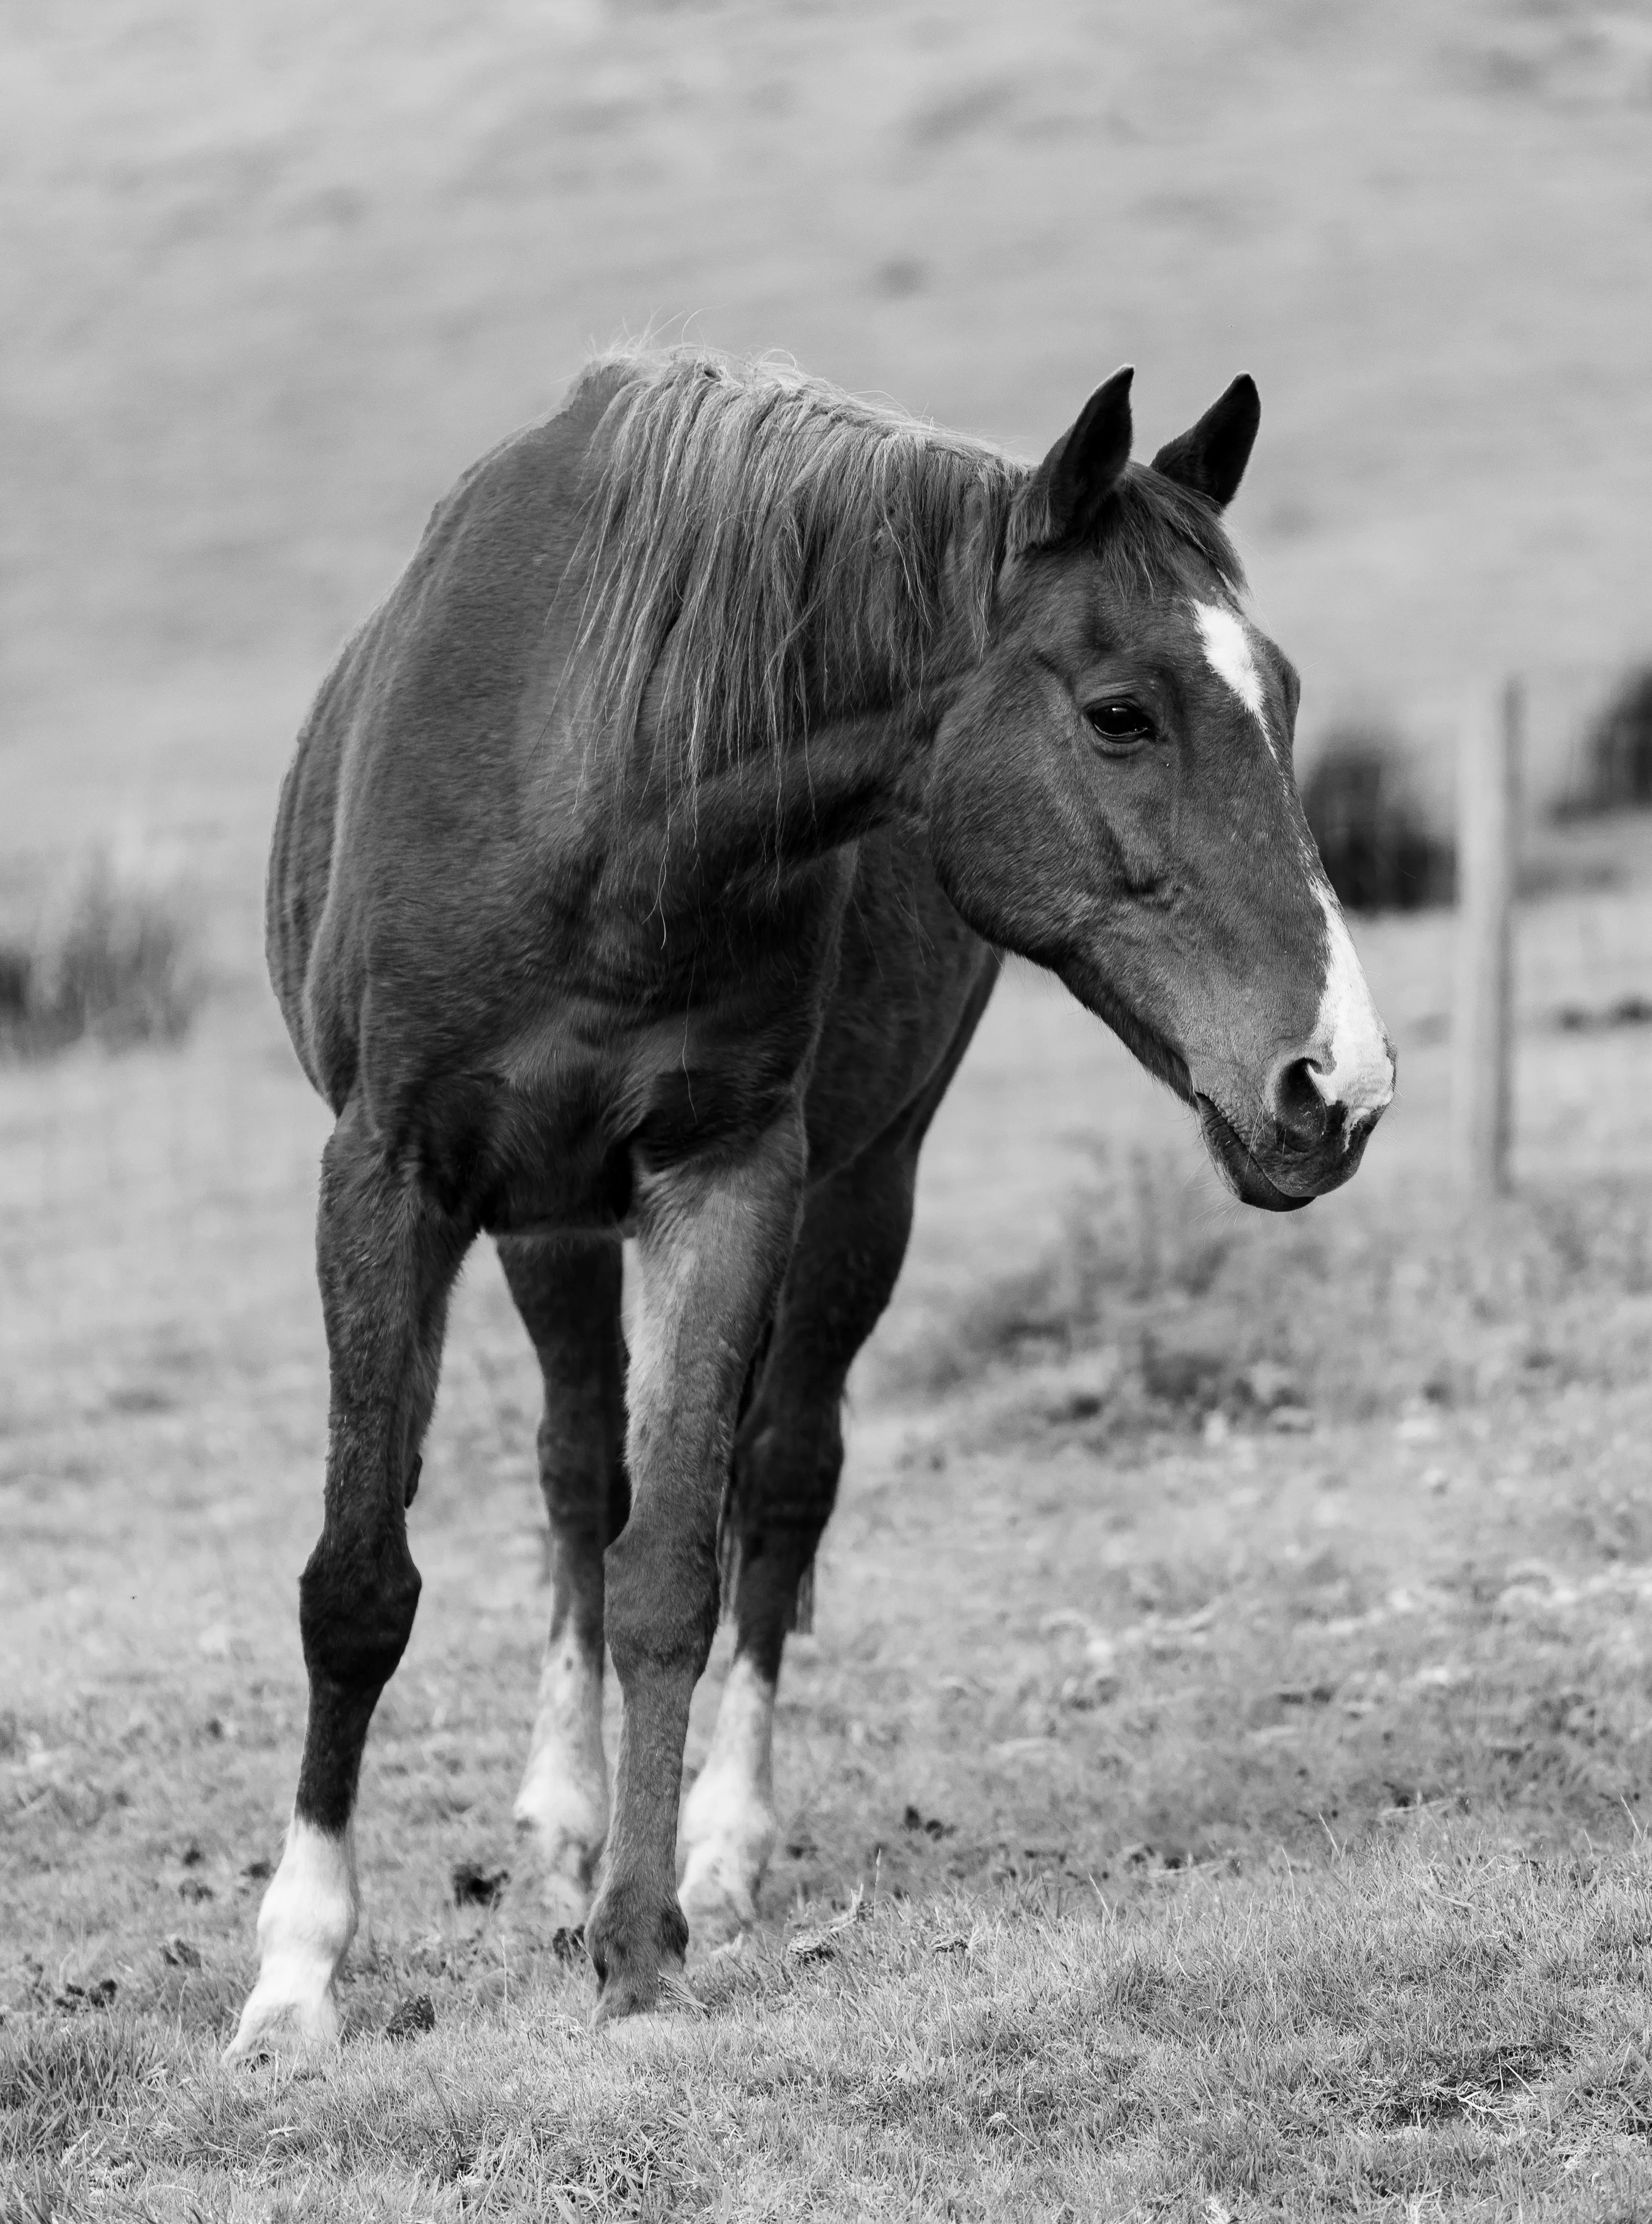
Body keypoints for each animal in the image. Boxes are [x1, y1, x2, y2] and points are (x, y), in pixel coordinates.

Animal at [226, 345, 1394, 2056]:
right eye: (1120, 714)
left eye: (1286, 699)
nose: (1335, 1083)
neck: (605, 785)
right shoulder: (391, 1178)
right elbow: (363, 1580)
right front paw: (299, 1969)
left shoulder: (730, 1178)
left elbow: (674, 1571)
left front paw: (638, 1937)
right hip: (550, 1229)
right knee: (573, 1468)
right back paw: (560, 1810)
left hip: (857, 1195)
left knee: (774, 1488)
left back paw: (717, 1846)